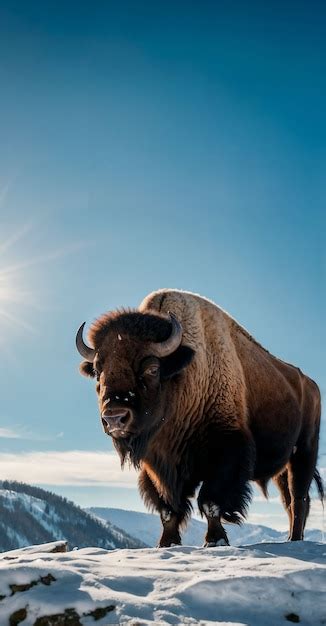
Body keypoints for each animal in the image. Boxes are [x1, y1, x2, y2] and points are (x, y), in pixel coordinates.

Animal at [76, 290, 324, 544]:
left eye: (152, 368)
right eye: (97, 371)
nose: (114, 417)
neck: (183, 376)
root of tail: (310, 385)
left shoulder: (227, 452)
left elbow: (210, 501)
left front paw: (215, 540)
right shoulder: (157, 465)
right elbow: (168, 509)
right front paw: (167, 543)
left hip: (304, 452)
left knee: (298, 498)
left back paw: (295, 539)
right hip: (282, 467)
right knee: (289, 500)